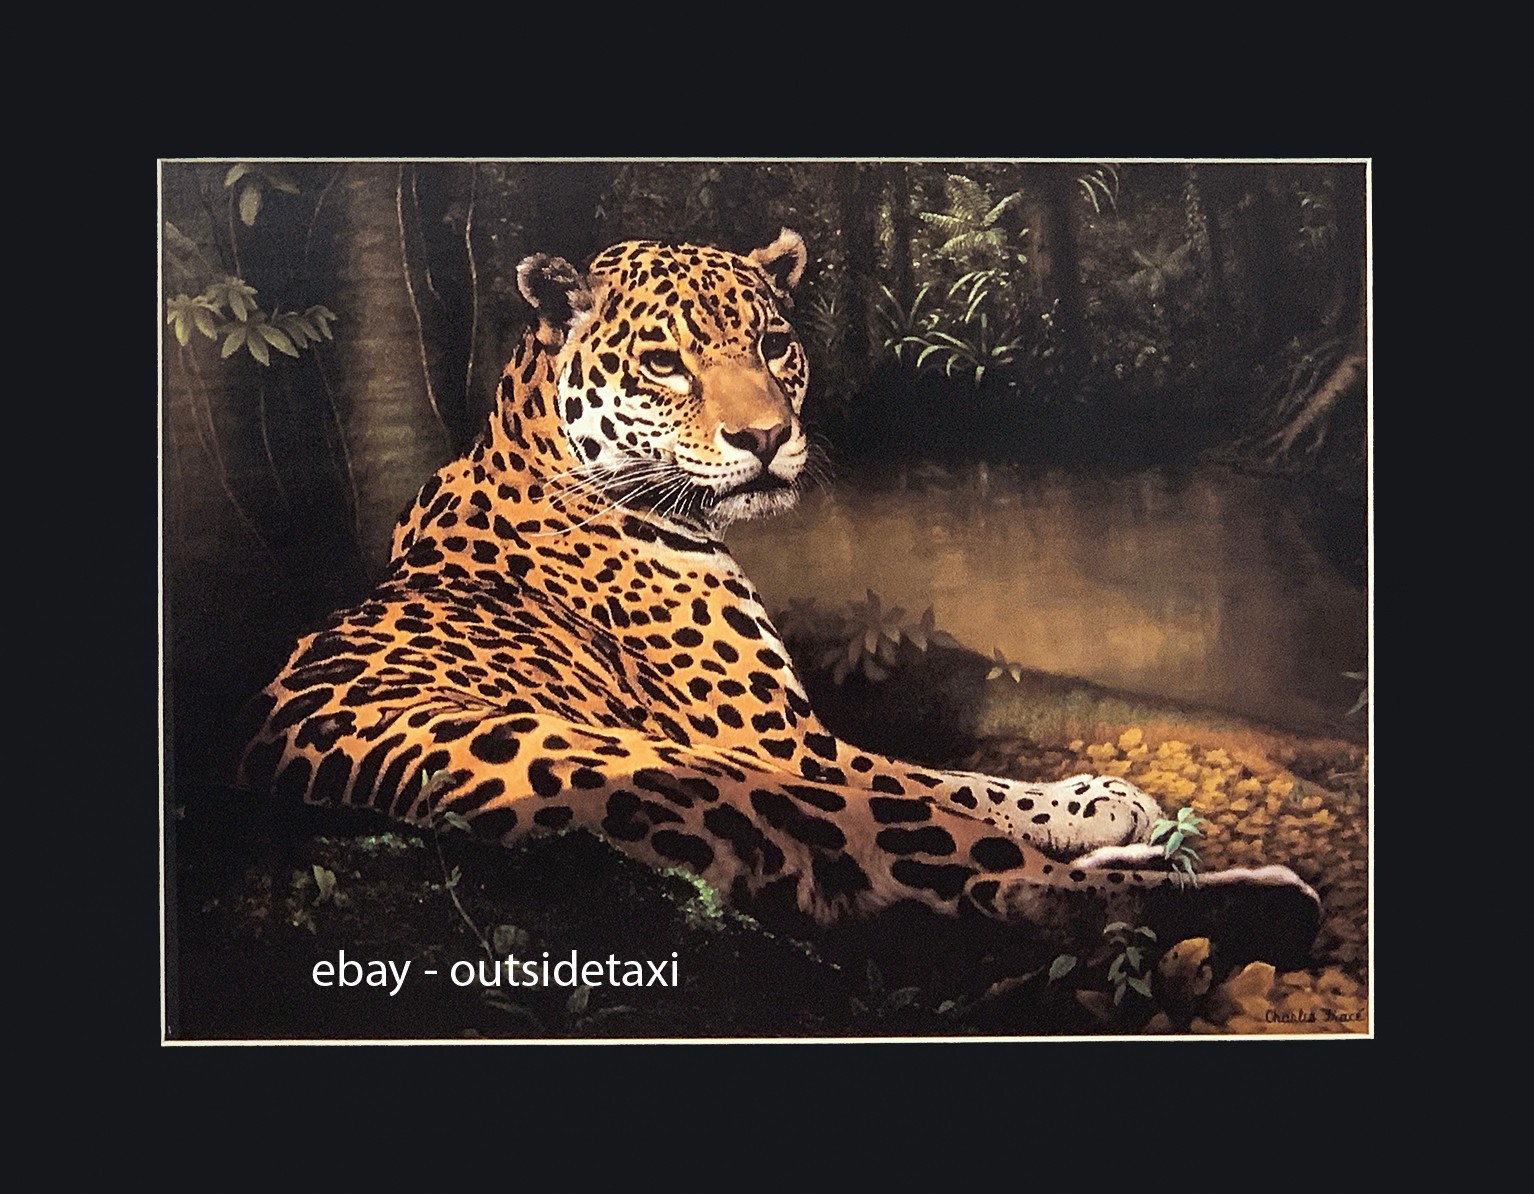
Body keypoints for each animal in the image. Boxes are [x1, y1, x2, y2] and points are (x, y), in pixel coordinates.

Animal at [238, 229, 1320, 960]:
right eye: (664, 363)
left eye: (770, 344)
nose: (764, 437)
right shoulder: (785, 742)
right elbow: (956, 781)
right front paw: (1097, 800)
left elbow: (967, 781)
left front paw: (1100, 799)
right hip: (751, 783)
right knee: (1004, 883)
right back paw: (1256, 896)